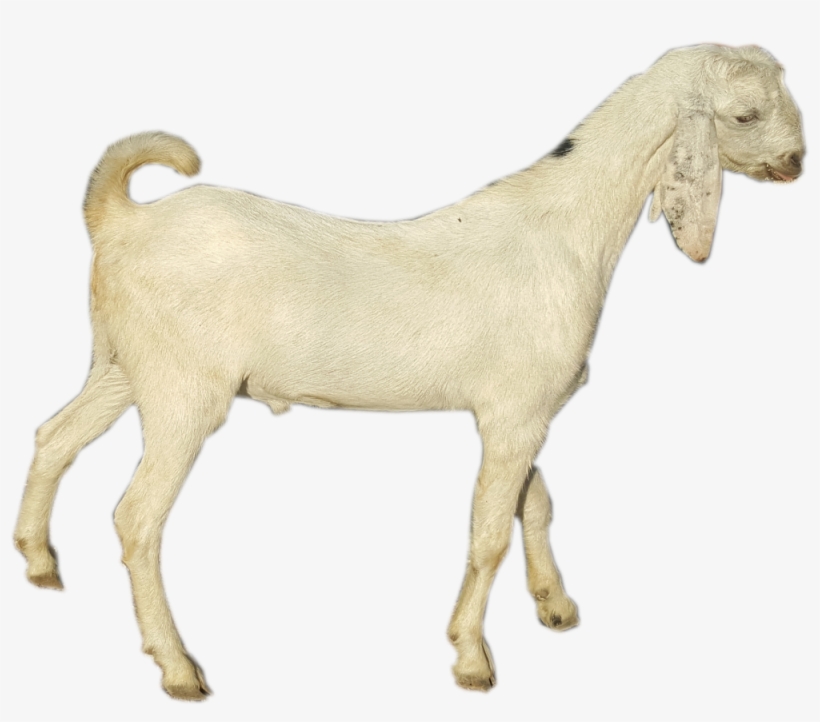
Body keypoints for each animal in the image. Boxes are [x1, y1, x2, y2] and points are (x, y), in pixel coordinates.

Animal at [14, 44, 804, 699]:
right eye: (745, 114)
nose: (797, 162)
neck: (564, 229)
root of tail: (121, 221)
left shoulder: (523, 414)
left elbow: (534, 503)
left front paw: (555, 605)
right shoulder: (513, 414)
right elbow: (488, 532)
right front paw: (472, 659)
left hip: (124, 365)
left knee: (54, 435)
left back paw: (38, 562)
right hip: (184, 392)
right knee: (136, 515)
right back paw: (179, 668)